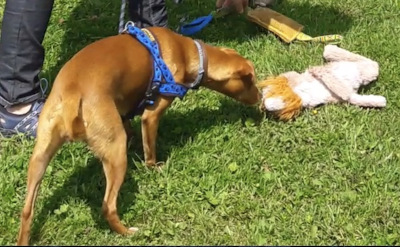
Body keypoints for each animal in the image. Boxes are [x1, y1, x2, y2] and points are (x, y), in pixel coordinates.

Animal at [16, 25, 260, 245]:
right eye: (252, 82)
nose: (260, 96)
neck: (186, 51)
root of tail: (72, 93)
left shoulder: (124, 108)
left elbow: (131, 128)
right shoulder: (151, 116)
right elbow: (149, 149)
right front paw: (154, 166)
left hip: (40, 157)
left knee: (27, 210)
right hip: (115, 153)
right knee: (108, 206)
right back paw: (127, 232)